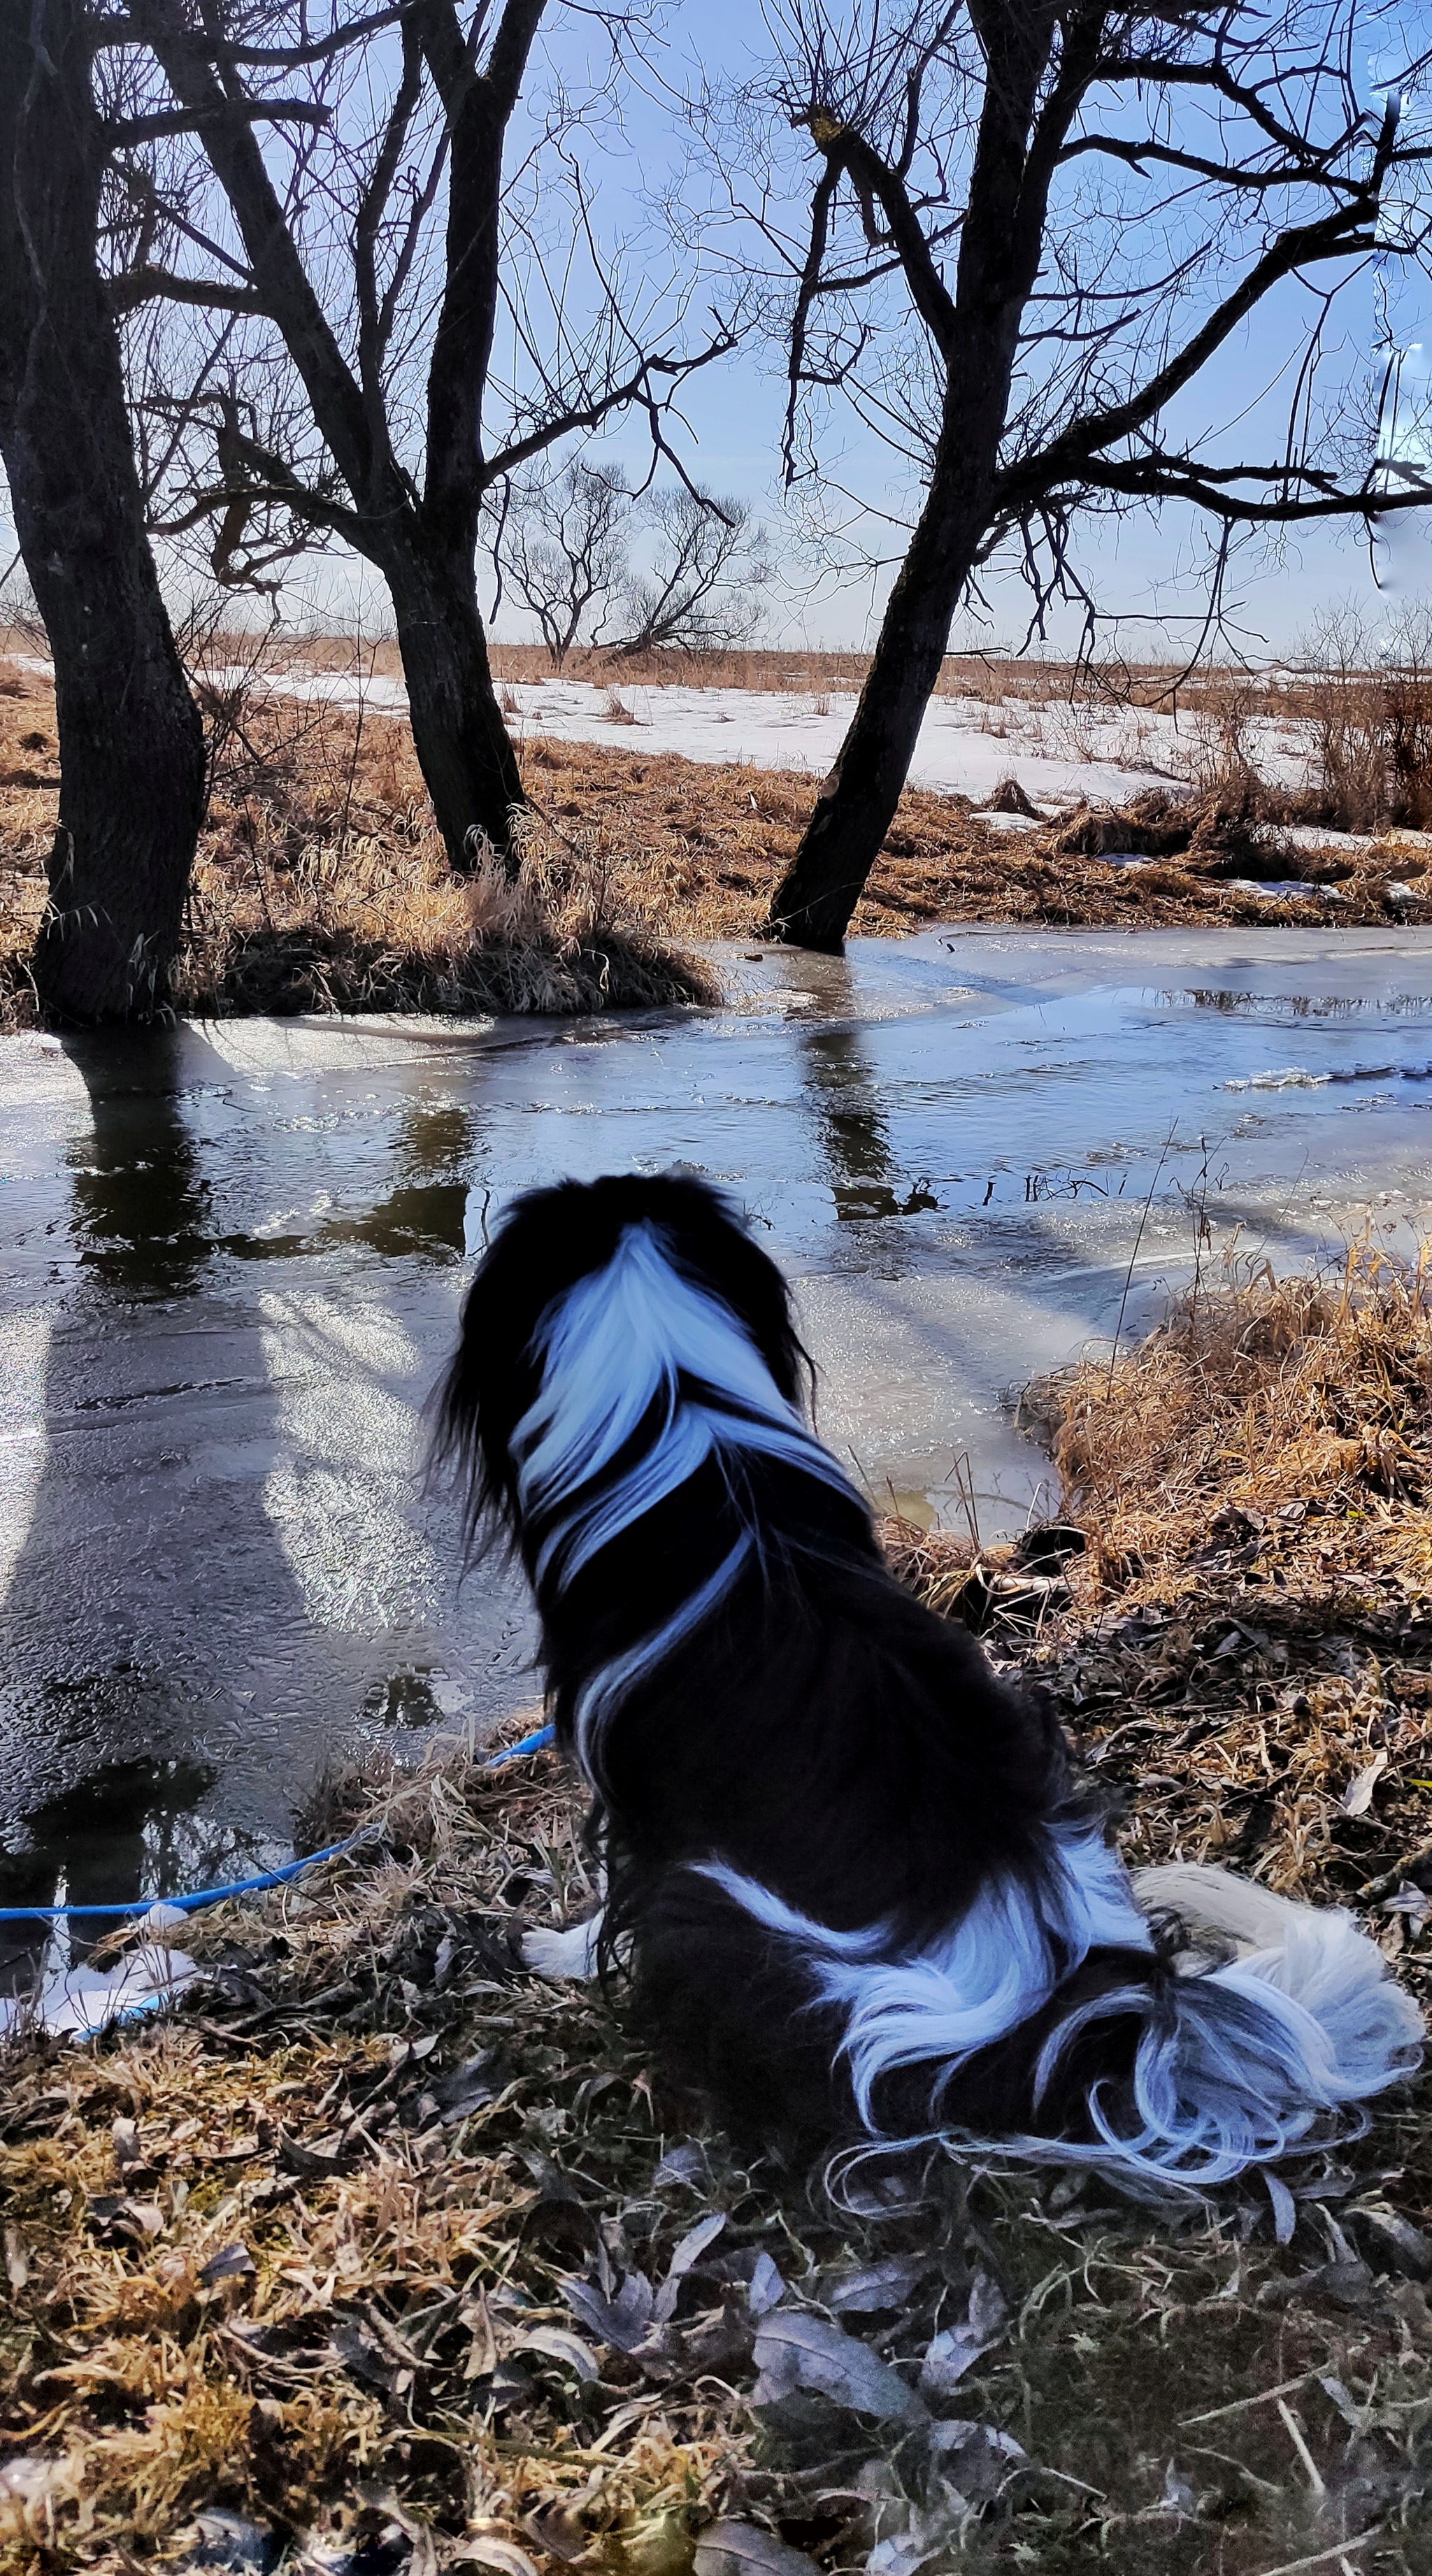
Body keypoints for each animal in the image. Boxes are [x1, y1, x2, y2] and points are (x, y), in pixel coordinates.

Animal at [435, 1180, 1422, 2184]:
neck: (696, 1428)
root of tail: (1096, 2017)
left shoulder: (635, 1800)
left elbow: (603, 1903)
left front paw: (554, 1948)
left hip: (712, 1912)